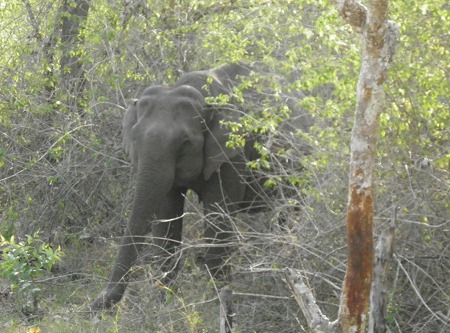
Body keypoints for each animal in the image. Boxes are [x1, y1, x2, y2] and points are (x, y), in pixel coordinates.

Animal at [90, 62, 288, 308]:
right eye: (135, 139)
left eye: (185, 143)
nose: (96, 303)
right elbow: (167, 219)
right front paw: (164, 304)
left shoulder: (232, 154)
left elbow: (217, 218)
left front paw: (219, 302)